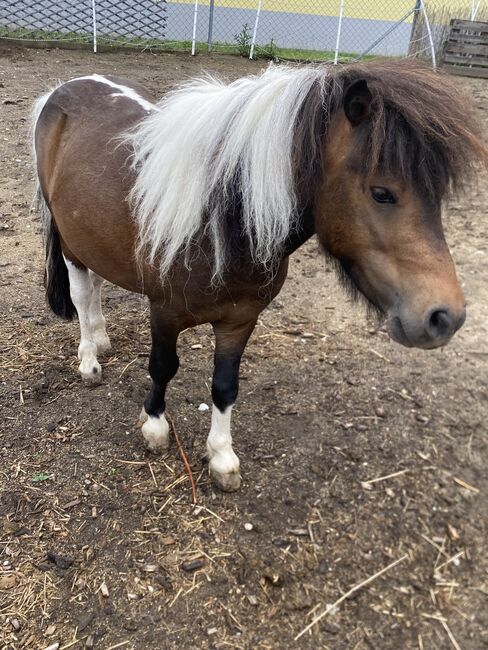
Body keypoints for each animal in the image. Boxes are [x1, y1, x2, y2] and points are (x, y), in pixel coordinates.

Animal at [33, 60, 484, 488]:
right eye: (382, 193)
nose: (444, 317)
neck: (220, 220)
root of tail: (67, 88)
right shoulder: (164, 312)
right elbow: (162, 366)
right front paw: (156, 428)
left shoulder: (240, 319)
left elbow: (225, 385)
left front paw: (221, 457)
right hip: (69, 244)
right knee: (83, 294)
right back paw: (89, 359)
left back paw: (102, 340)